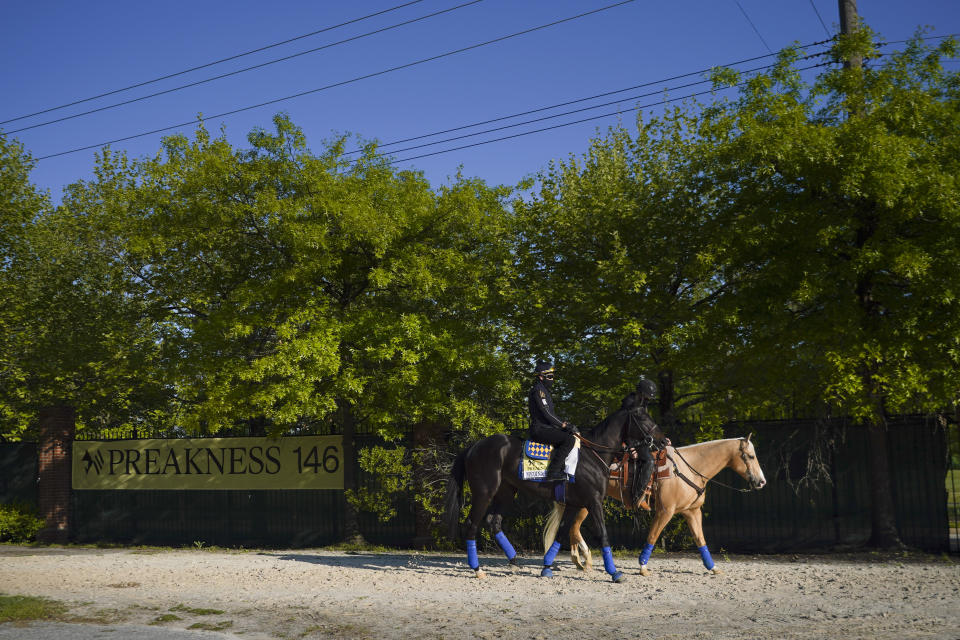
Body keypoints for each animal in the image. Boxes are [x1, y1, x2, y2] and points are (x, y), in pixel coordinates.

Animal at [440, 404, 660, 584]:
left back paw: (514, 560)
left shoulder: (573, 504)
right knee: (471, 524)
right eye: (643, 418)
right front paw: (614, 572)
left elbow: (561, 534)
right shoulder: (594, 502)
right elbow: (603, 535)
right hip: (484, 493)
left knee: (494, 521)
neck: (593, 456)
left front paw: (546, 567)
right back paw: (477, 569)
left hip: (506, 492)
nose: (662, 440)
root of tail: (475, 446)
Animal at [544, 436, 768, 576]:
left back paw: (580, 561)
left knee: (572, 528)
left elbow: (700, 540)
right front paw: (643, 567)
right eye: (750, 456)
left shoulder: (692, 512)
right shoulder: (665, 512)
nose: (761, 482)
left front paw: (712, 568)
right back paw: (584, 559)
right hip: (587, 503)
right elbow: (652, 536)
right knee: (574, 527)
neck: (688, 468)